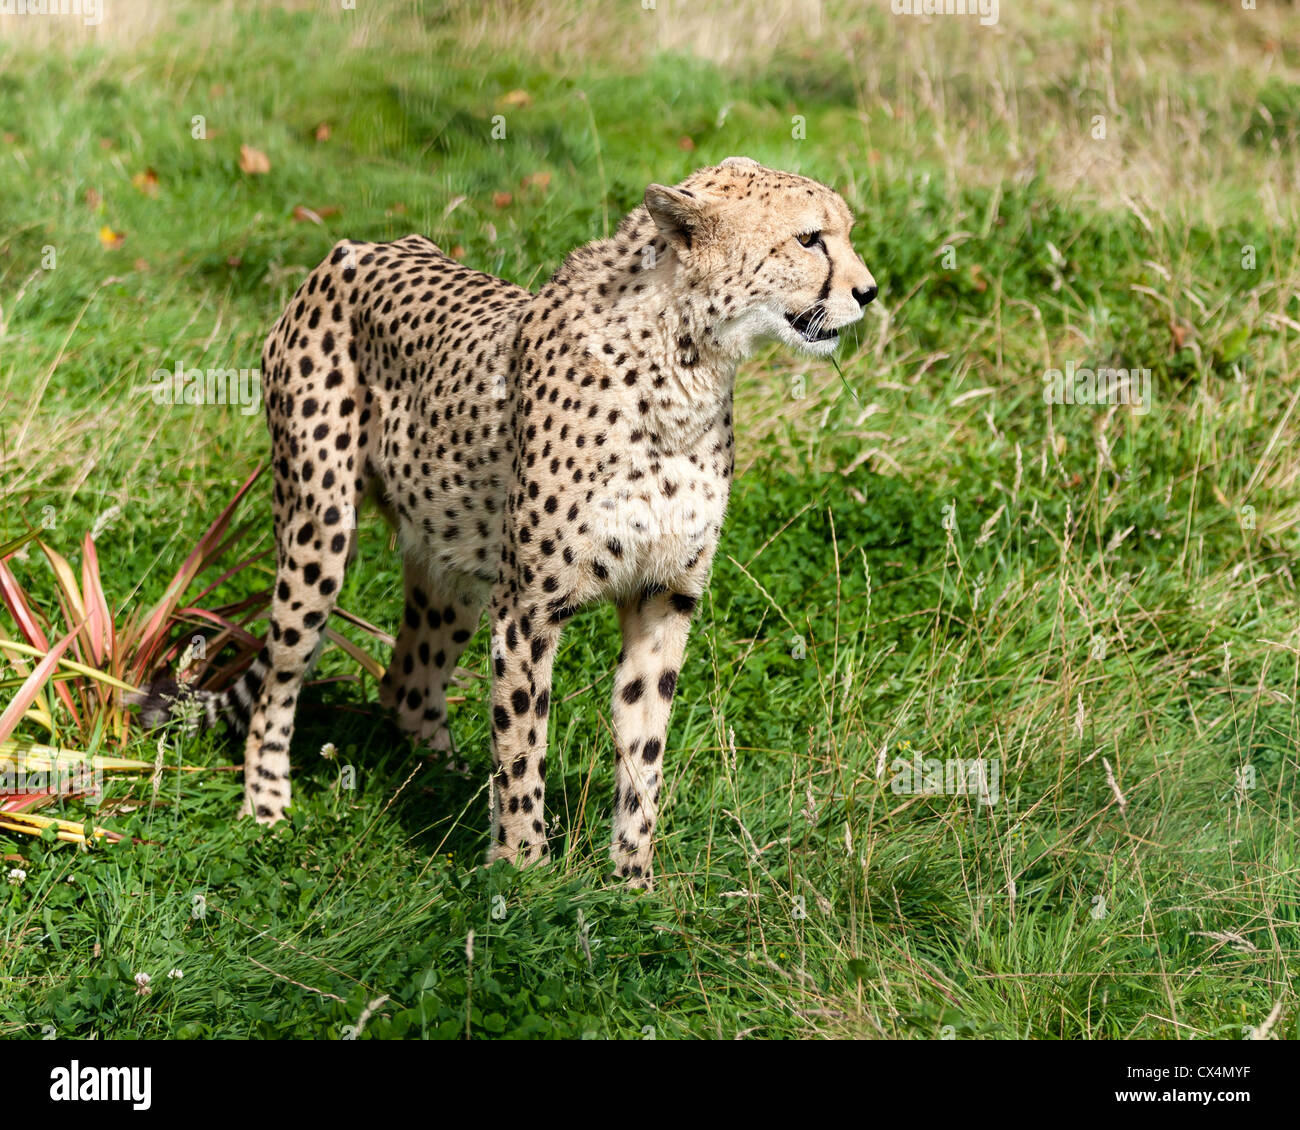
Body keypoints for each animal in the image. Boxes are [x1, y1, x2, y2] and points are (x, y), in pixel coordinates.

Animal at [139, 154, 873, 884]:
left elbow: (644, 747)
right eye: (810, 239)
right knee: (281, 681)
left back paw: (444, 779)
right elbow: (523, 740)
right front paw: (523, 871)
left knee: (406, 680)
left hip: (456, 561)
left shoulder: (664, 595)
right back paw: (267, 808)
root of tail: (354, 247)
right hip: (320, 529)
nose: (867, 292)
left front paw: (634, 883)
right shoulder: (529, 607)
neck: (687, 364)